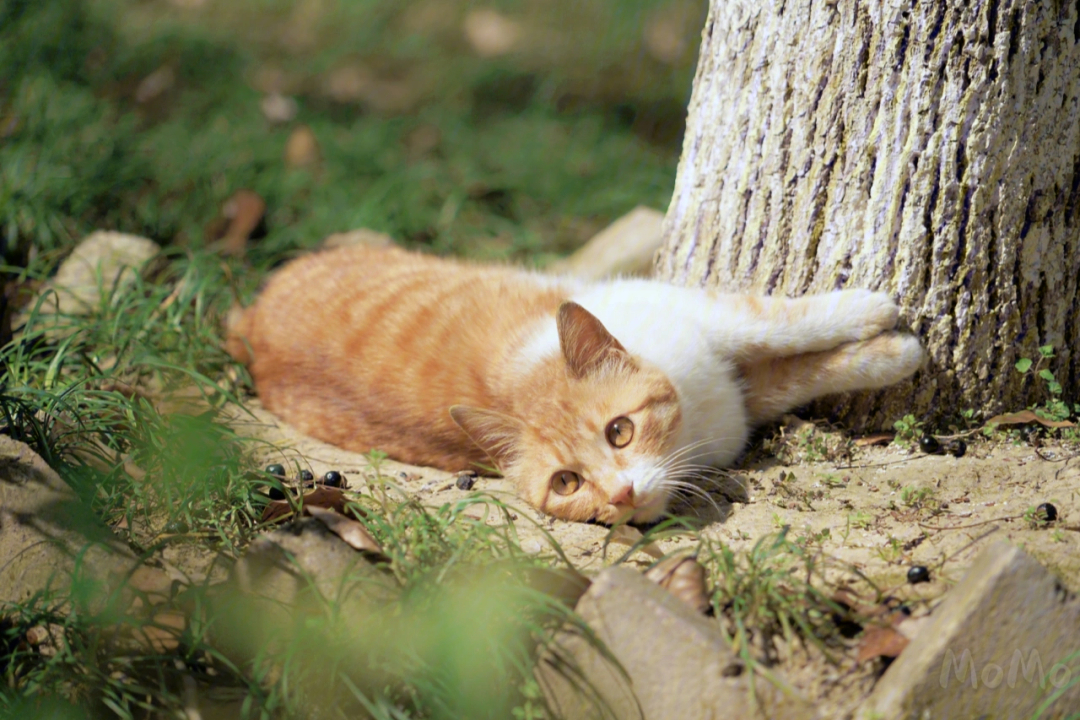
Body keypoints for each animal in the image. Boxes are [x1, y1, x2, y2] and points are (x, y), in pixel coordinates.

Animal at [225, 243, 920, 524]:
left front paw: (872, 316)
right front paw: (894, 346)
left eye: (620, 431)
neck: (698, 426)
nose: (620, 495)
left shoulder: (708, 321)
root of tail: (247, 318)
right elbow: (790, 357)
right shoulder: (736, 380)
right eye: (568, 484)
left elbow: (778, 328)